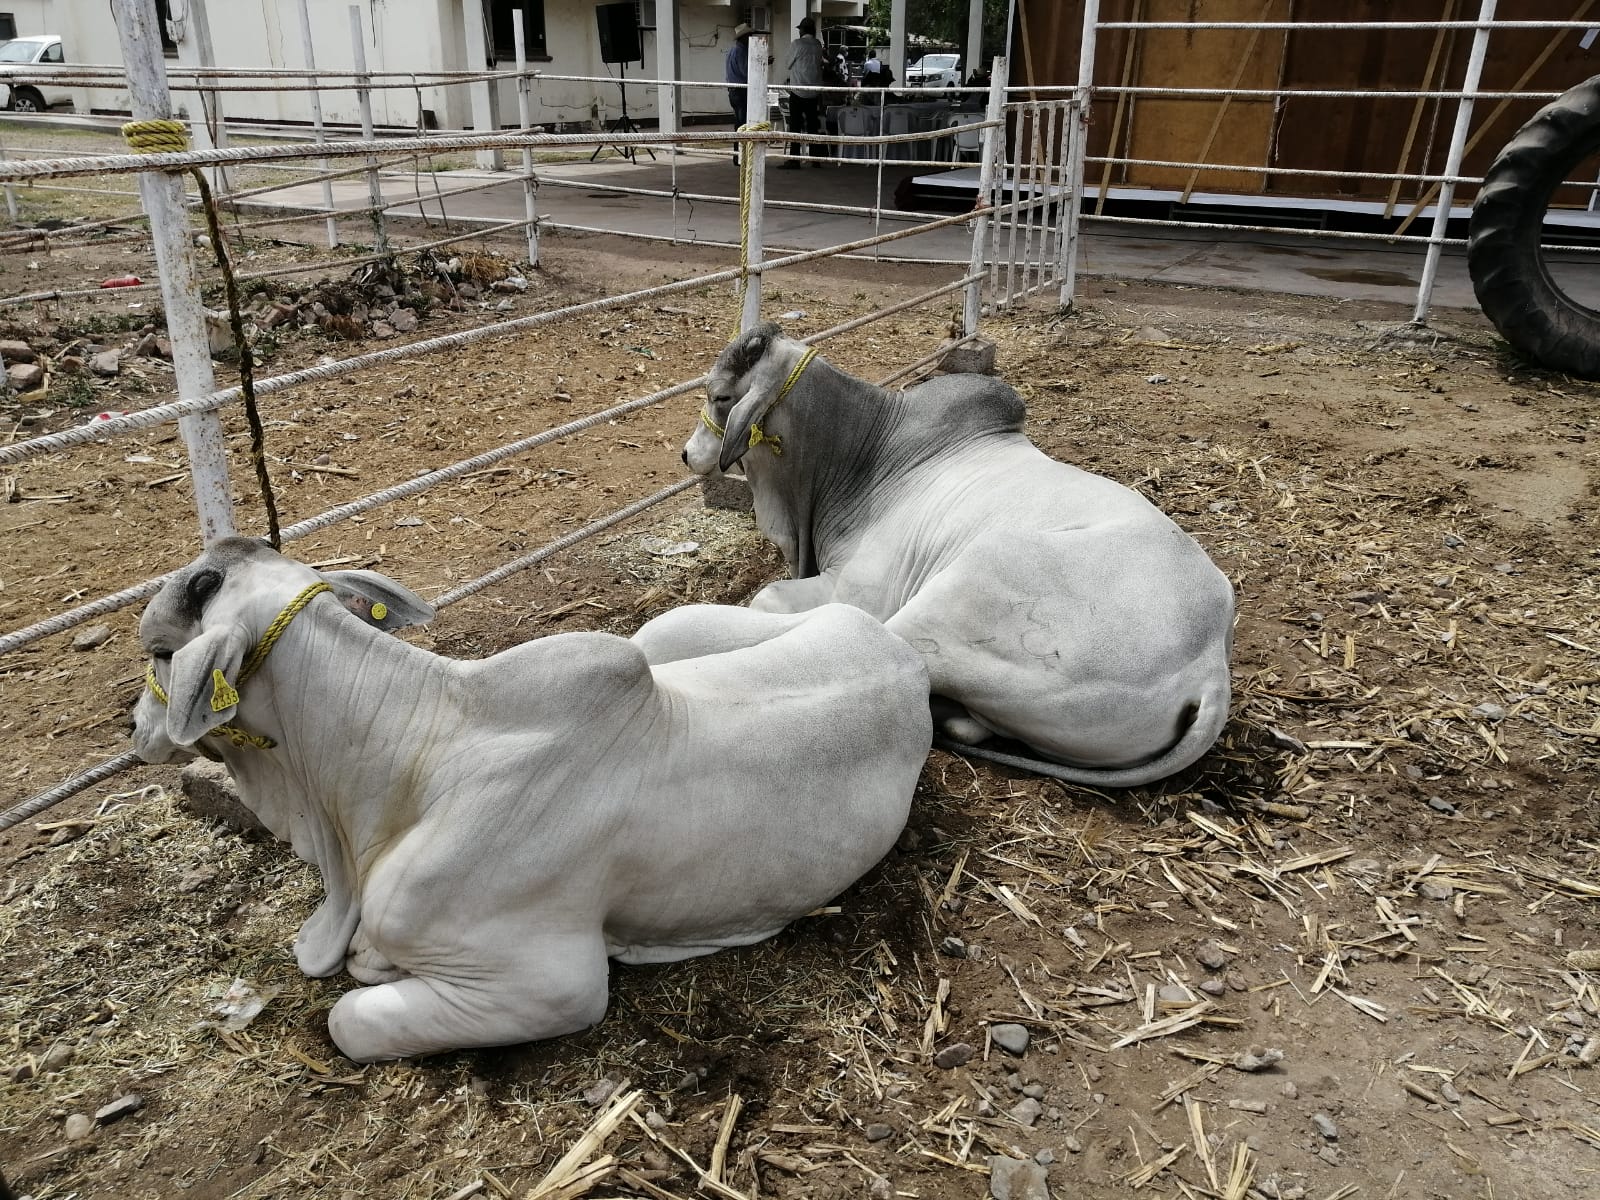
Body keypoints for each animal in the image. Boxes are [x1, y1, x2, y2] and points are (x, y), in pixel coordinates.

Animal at [131, 538, 931, 1061]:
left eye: (161, 653)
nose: (134, 728)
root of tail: (898, 651)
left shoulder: (552, 985)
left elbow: (350, 1020)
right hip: (669, 629)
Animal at [682, 323, 1236, 788]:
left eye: (721, 396)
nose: (687, 455)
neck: (864, 456)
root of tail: (1210, 668)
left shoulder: (857, 589)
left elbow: (768, 598)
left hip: (963, 584)